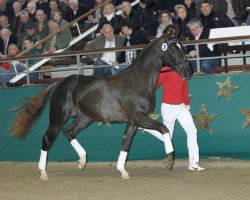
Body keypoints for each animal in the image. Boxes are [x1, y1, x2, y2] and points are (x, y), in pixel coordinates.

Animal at [9, 29, 192, 180]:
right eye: (173, 48)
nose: (188, 71)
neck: (137, 81)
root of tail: (59, 83)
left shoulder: (133, 121)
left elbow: (126, 143)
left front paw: (123, 171)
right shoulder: (138, 117)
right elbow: (164, 128)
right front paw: (168, 161)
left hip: (84, 118)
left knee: (69, 132)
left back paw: (82, 161)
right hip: (58, 117)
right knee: (48, 139)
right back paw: (44, 172)